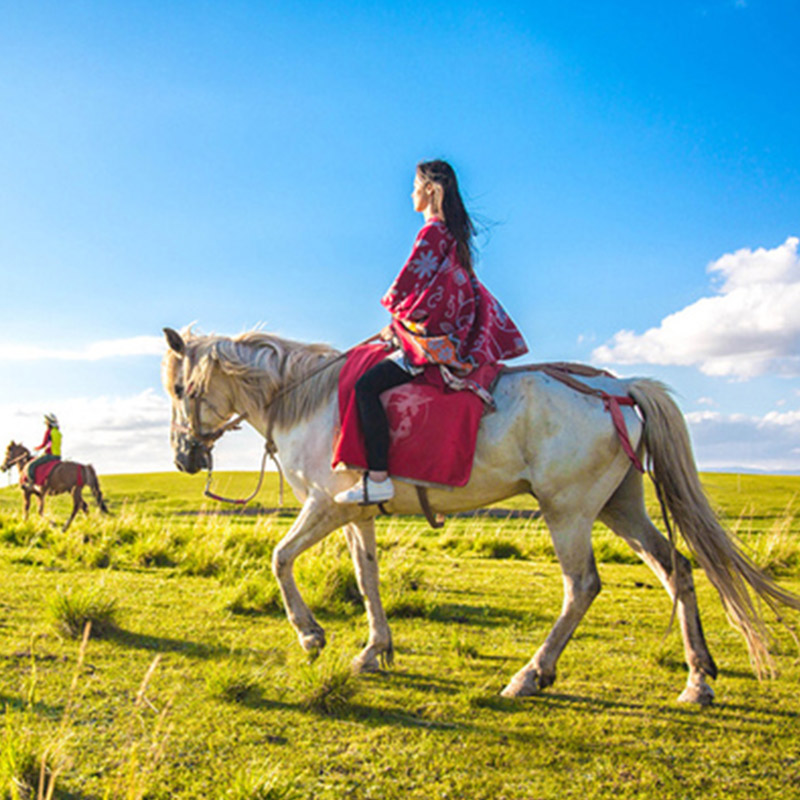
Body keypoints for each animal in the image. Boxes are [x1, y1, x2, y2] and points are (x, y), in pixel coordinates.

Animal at [161, 324, 800, 700]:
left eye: (178, 390)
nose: (184, 457)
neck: (303, 400)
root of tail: (619, 389)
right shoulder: (356, 514)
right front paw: (374, 650)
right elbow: (367, 579)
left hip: (568, 510)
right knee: (678, 569)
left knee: (583, 586)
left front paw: (311, 635)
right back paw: (698, 679)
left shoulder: (324, 506)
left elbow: (279, 558)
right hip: (621, 508)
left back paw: (532, 674)